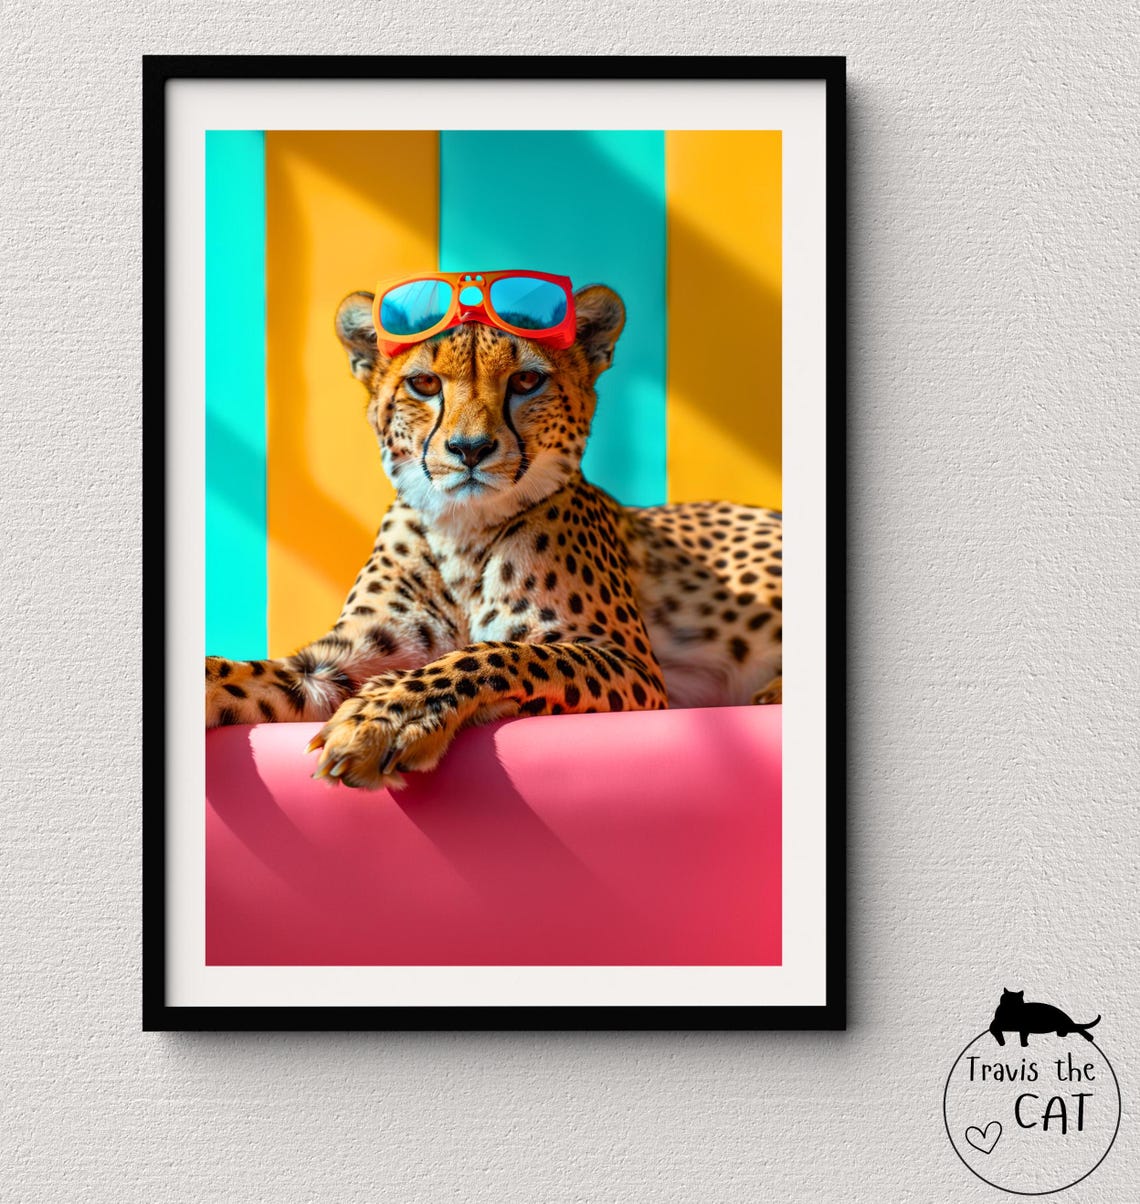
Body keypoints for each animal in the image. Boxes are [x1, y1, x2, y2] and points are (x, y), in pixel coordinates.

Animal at [205, 282, 783, 790]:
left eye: (527, 381)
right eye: (425, 385)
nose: (470, 448)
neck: (462, 532)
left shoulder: (635, 667)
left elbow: (500, 653)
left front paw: (388, 716)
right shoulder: (338, 661)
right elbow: (243, 672)